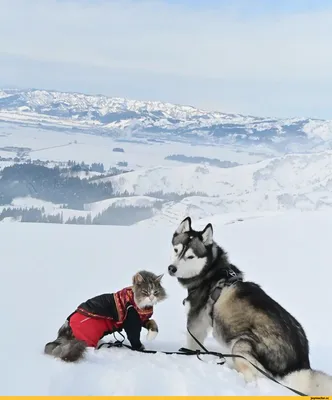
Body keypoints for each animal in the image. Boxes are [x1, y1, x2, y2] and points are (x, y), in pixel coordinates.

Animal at [167, 216, 332, 394]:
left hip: (241, 345)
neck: (210, 272)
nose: (171, 268)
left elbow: (192, 345)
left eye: (190, 256)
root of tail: (297, 366)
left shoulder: (196, 323)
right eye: (176, 250)